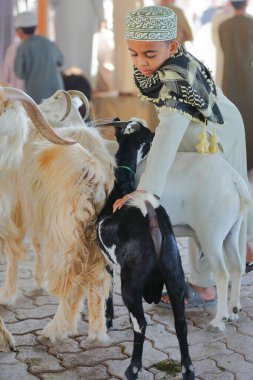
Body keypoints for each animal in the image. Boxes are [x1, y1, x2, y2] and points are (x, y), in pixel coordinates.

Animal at [0, 85, 113, 342]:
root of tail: (92, 177)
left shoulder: (12, 212)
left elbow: (13, 253)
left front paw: (6, 296)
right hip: (92, 237)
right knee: (97, 279)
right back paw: (97, 332)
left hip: (64, 233)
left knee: (73, 280)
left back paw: (55, 329)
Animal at [96, 121, 195, 380]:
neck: (122, 182)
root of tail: (149, 215)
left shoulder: (106, 260)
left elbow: (107, 291)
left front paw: (107, 320)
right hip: (175, 273)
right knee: (181, 322)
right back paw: (188, 369)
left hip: (131, 284)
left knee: (140, 324)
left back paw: (133, 368)